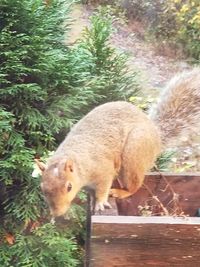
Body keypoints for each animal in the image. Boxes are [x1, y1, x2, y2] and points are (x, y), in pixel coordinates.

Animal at [35, 68, 200, 219]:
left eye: (69, 187)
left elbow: (102, 188)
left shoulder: (103, 170)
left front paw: (100, 202)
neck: (79, 163)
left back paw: (121, 192)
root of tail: (157, 137)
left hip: (134, 153)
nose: (57, 213)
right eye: (42, 188)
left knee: (134, 185)